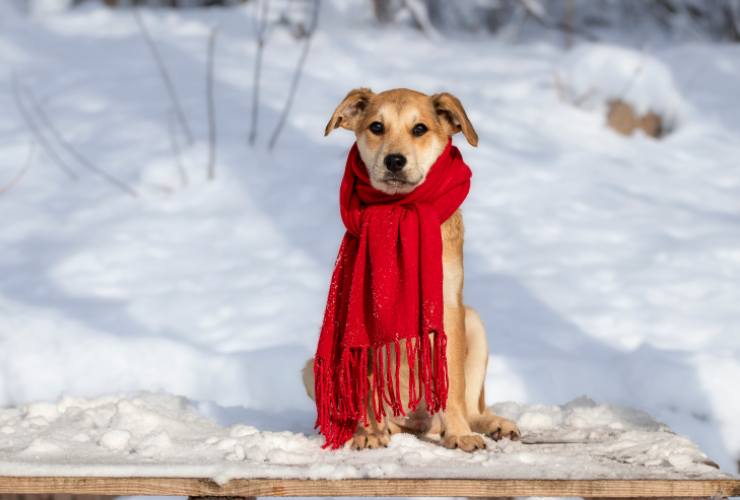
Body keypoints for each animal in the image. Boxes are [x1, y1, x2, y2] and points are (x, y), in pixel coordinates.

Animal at [302, 88, 520, 452]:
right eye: (376, 127)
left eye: (420, 129)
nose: (394, 161)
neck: (399, 209)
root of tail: (416, 422)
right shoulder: (361, 317)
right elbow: (364, 383)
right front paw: (366, 432)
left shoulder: (447, 308)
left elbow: (454, 383)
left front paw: (459, 433)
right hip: (311, 368)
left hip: (473, 321)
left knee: (474, 405)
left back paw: (489, 424)